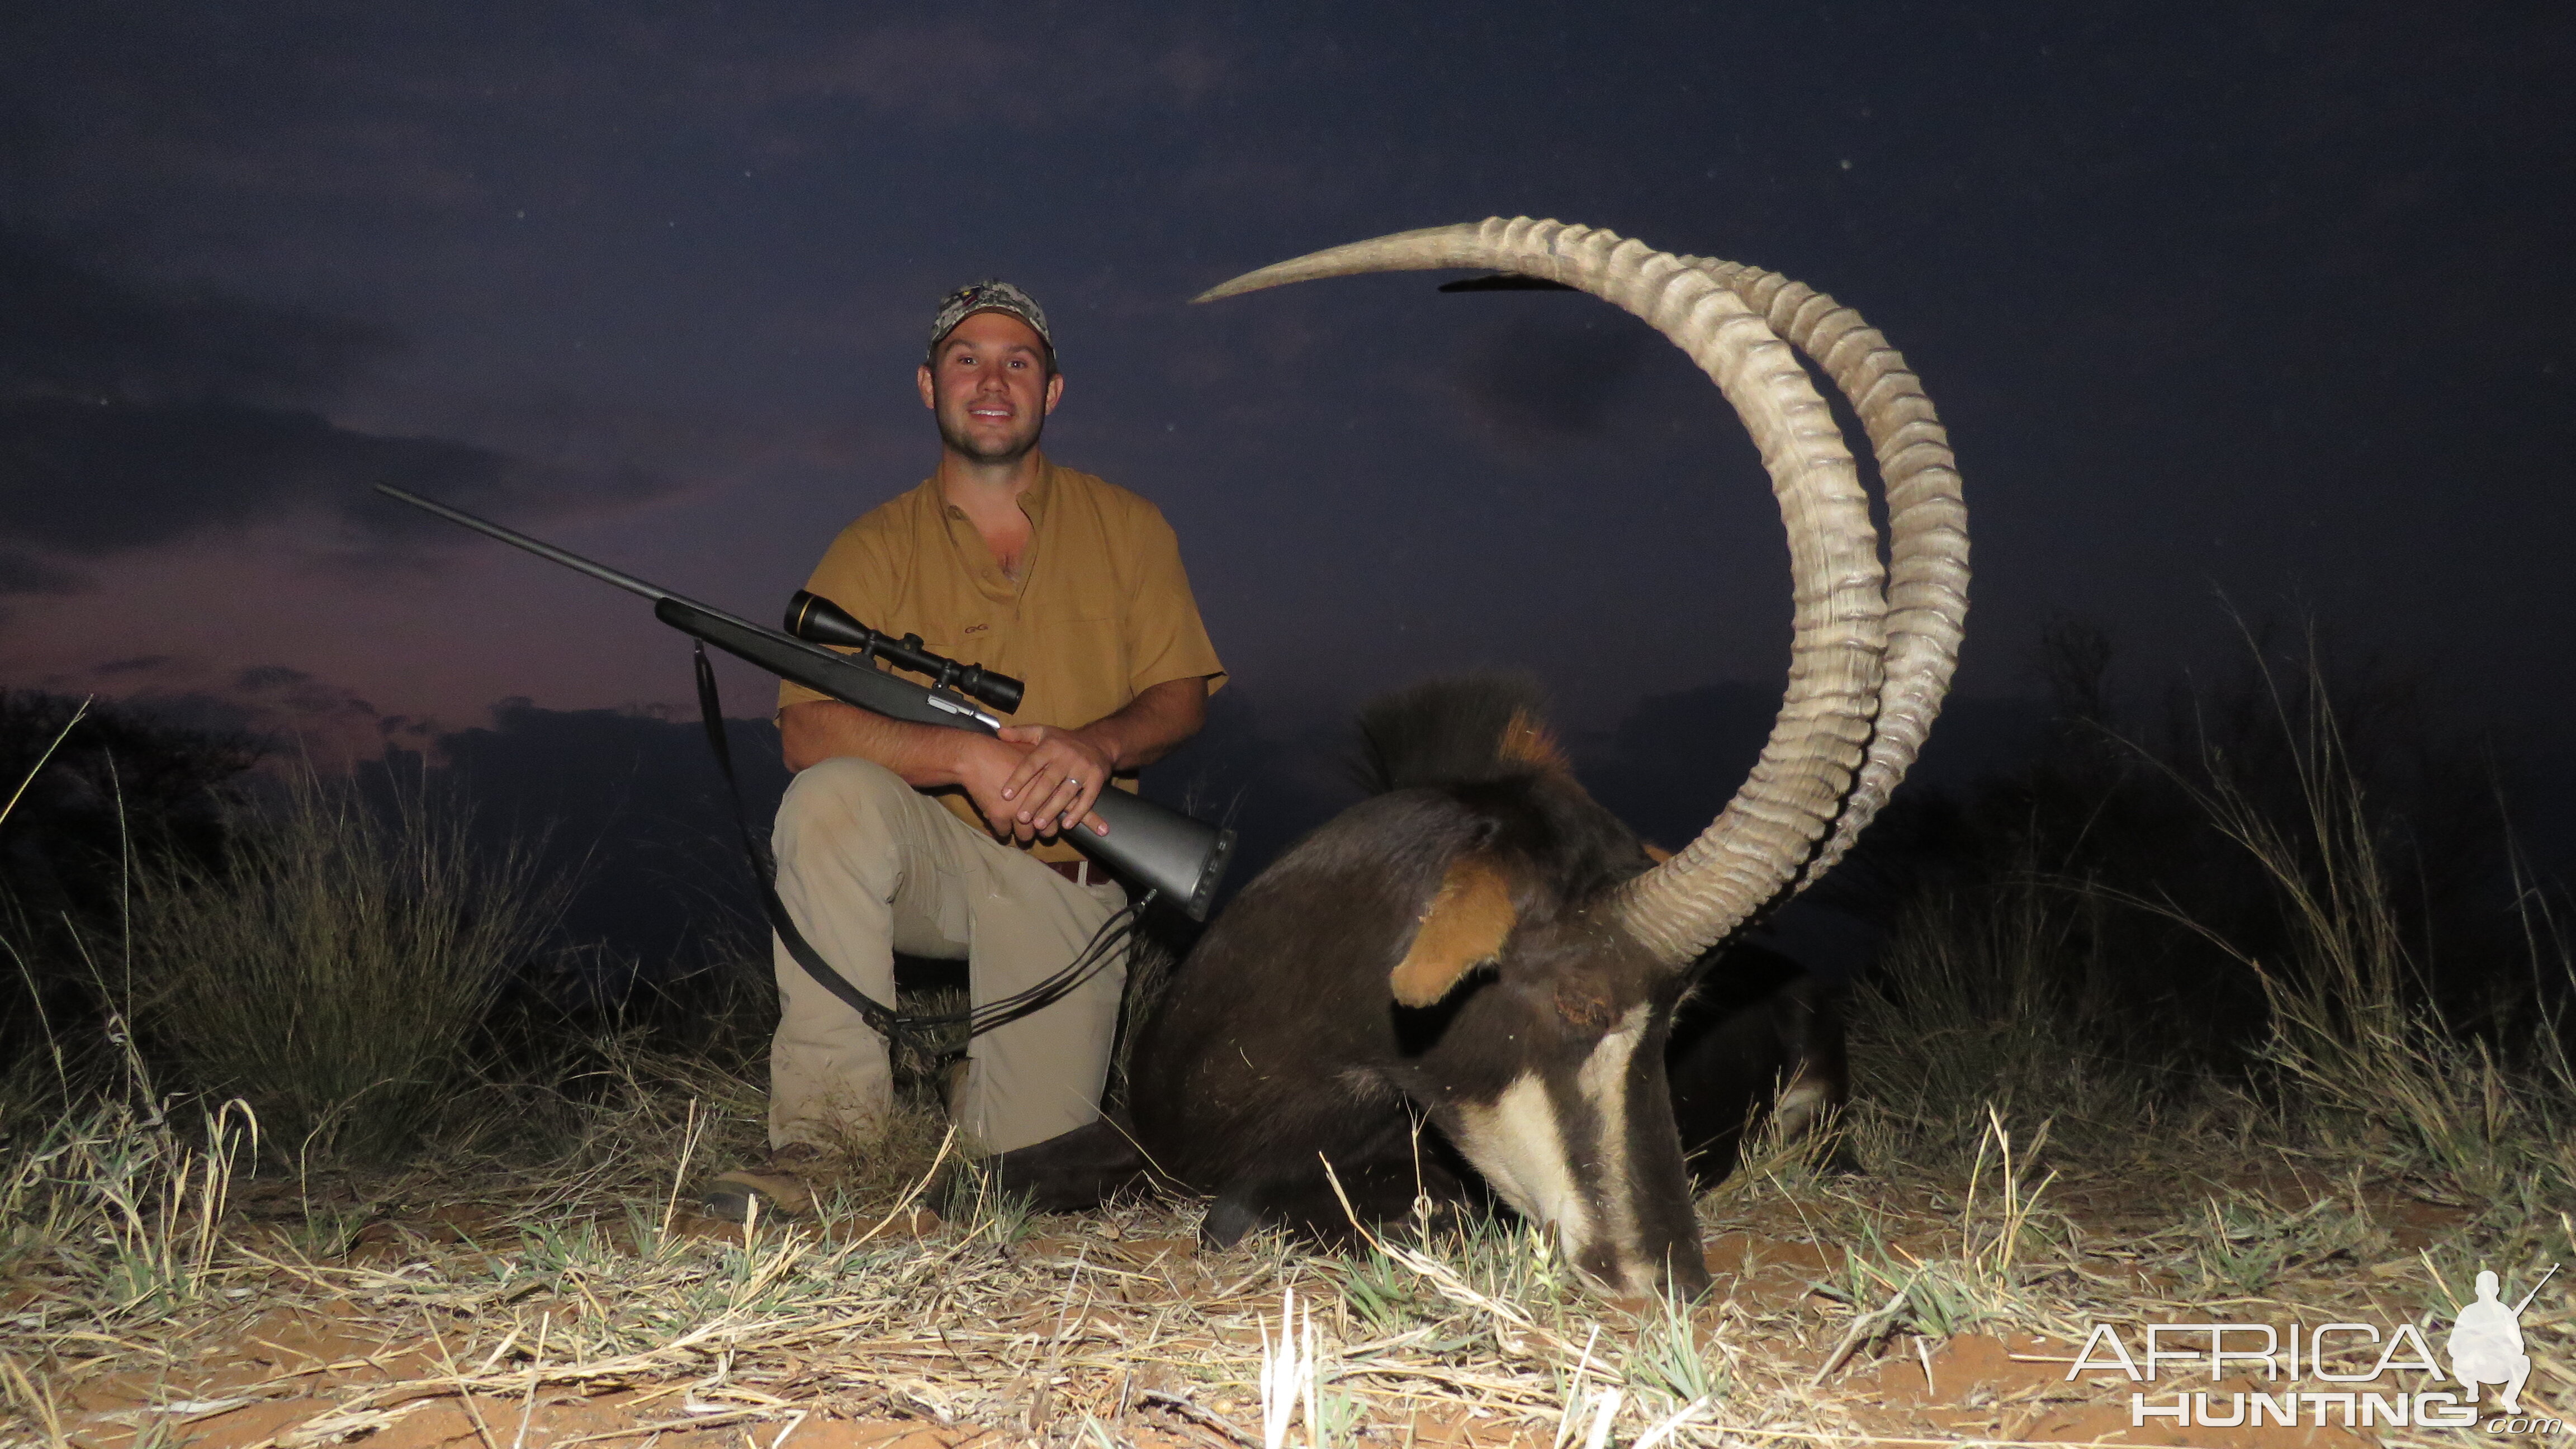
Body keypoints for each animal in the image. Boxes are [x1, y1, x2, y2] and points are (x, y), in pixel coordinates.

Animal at [994, 220, 1958, 1289]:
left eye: (1678, 1019)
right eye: (1580, 1000)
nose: (1664, 1274)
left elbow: (1234, 1214)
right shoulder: (1142, 1135)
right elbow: (983, 1173)